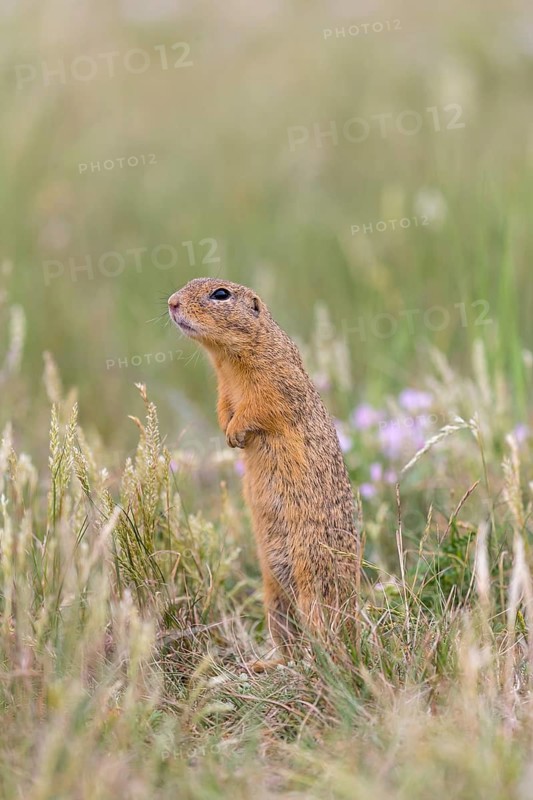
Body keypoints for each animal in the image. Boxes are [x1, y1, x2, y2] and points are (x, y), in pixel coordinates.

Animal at [168, 278, 358, 670]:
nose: (171, 303)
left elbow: (259, 408)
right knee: (289, 642)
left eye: (220, 294)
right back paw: (266, 664)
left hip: (313, 579)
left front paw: (236, 433)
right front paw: (227, 431)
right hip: (274, 599)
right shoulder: (223, 390)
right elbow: (224, 407)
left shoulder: (275, 384)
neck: (227, 360)